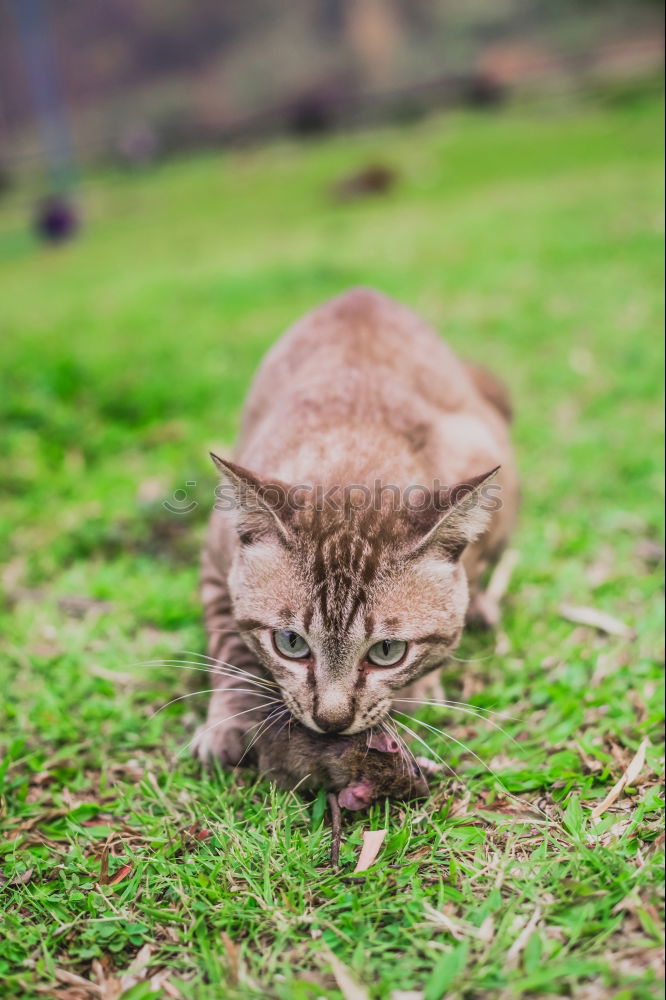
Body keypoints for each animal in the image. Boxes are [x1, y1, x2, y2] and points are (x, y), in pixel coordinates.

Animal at [195, 290, 516, 764]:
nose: (331, 721)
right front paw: (230, 719)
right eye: (290, 643)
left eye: (387, 651)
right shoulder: (216, 564)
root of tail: (362, 293)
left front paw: (416, 690)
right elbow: (230, 647)